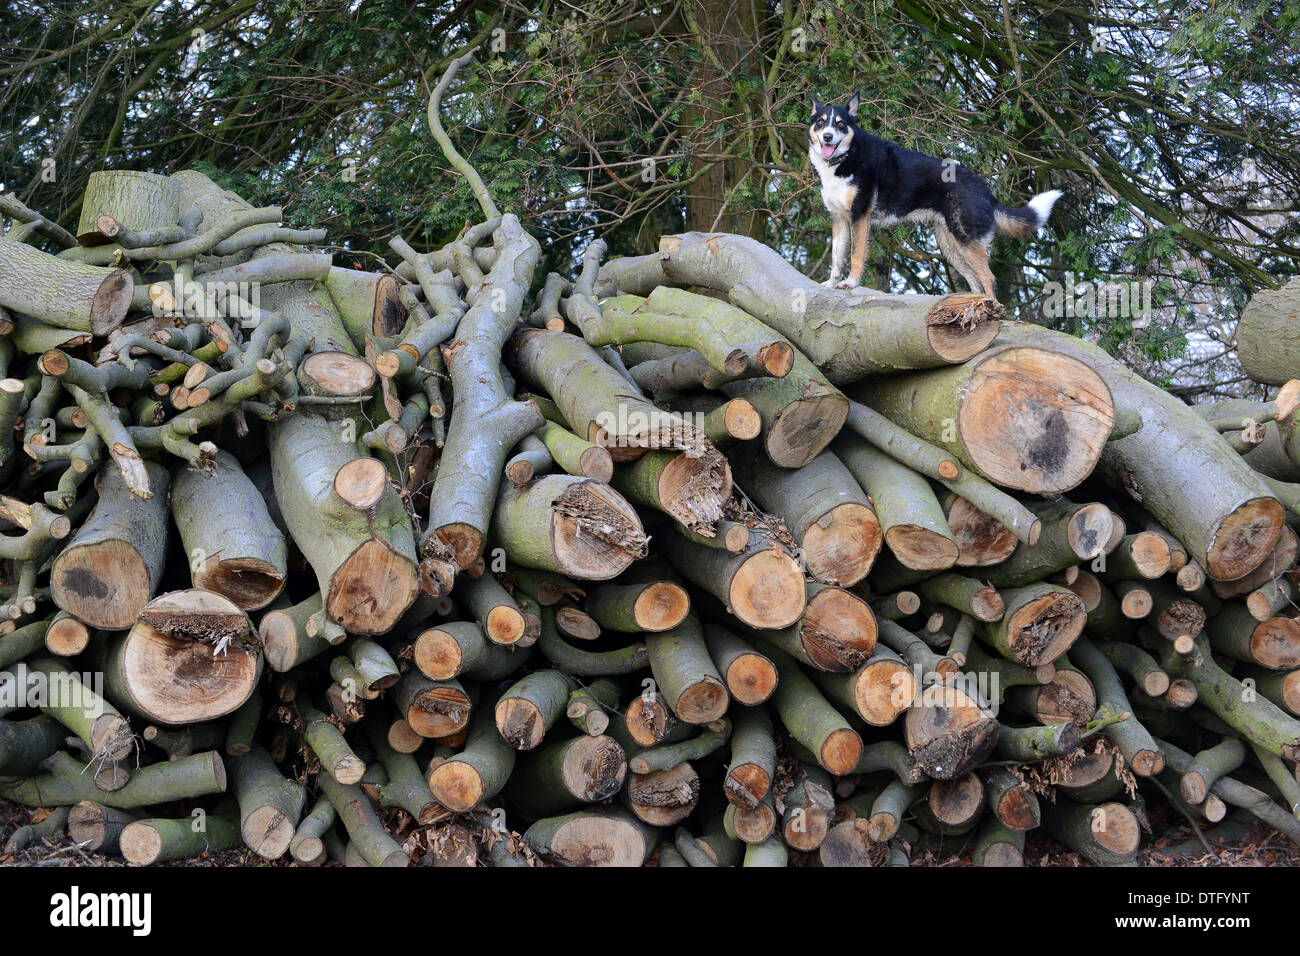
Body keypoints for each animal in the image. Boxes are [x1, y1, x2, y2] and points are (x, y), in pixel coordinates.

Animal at [806, 94, 1060, 295]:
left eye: (840, 124)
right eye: (820, 122)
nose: (827, 136)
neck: (846, 157)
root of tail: (985, 188)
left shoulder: (860, 216)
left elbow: (856, 255)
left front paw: (850, 283)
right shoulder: (839, 218)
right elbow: (836, 257)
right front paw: (831, 284)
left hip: (966, 241)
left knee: (989, 280)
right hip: (951, 246)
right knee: (976, 282)